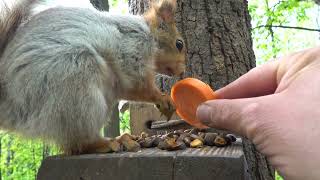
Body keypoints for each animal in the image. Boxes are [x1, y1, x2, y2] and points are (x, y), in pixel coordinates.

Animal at [0, 0, 186, 155]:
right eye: (179, 44)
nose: (182, 71)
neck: (148, 34)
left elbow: (128, 91)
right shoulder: (132, 49)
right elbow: (137, 85)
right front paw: (163, 98)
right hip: (73, 83)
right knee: (79, 143)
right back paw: (108, 143)